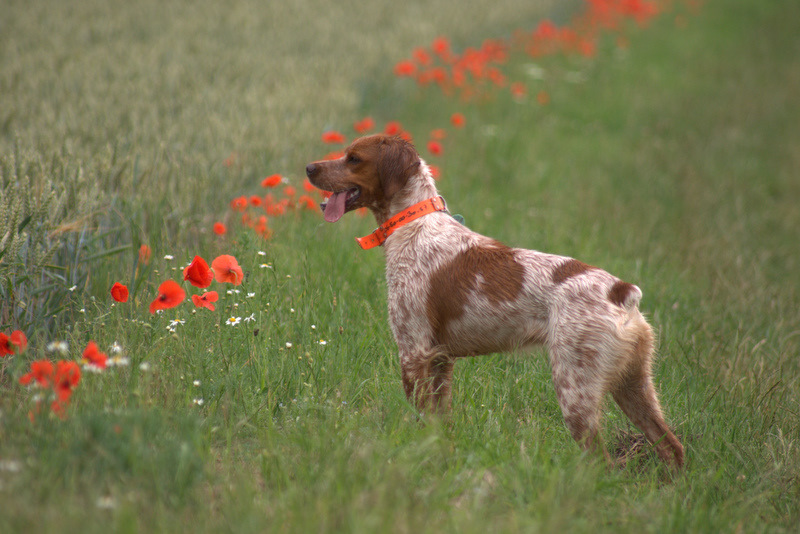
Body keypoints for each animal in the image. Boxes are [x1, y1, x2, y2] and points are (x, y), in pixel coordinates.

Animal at [308, 135, 688, 468]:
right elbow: (440, 426)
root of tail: (621, 292)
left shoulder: (413, 352)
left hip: (576, 390)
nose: (309, 167)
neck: (415, 223)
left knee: (603, 461)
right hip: (634, 385)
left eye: (353, 158)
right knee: (672, 447)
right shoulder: (440, 360)